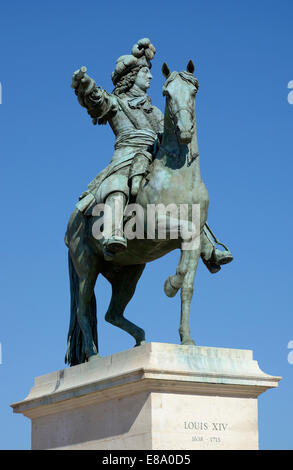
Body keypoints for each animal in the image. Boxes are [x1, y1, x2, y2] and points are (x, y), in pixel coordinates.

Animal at [65, 60, 209, 366]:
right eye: (167, 93)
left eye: (194, 90)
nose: (184, 129)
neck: (179, 176)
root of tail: (71, 224)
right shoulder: (153, 226)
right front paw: (170, 283)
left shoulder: (192, 241)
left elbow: (188, 287)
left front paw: (187, 339)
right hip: (87, 267)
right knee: (84, 308)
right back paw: (94, 357)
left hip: (129, 272)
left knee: (112, 313)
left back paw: (141, 339)